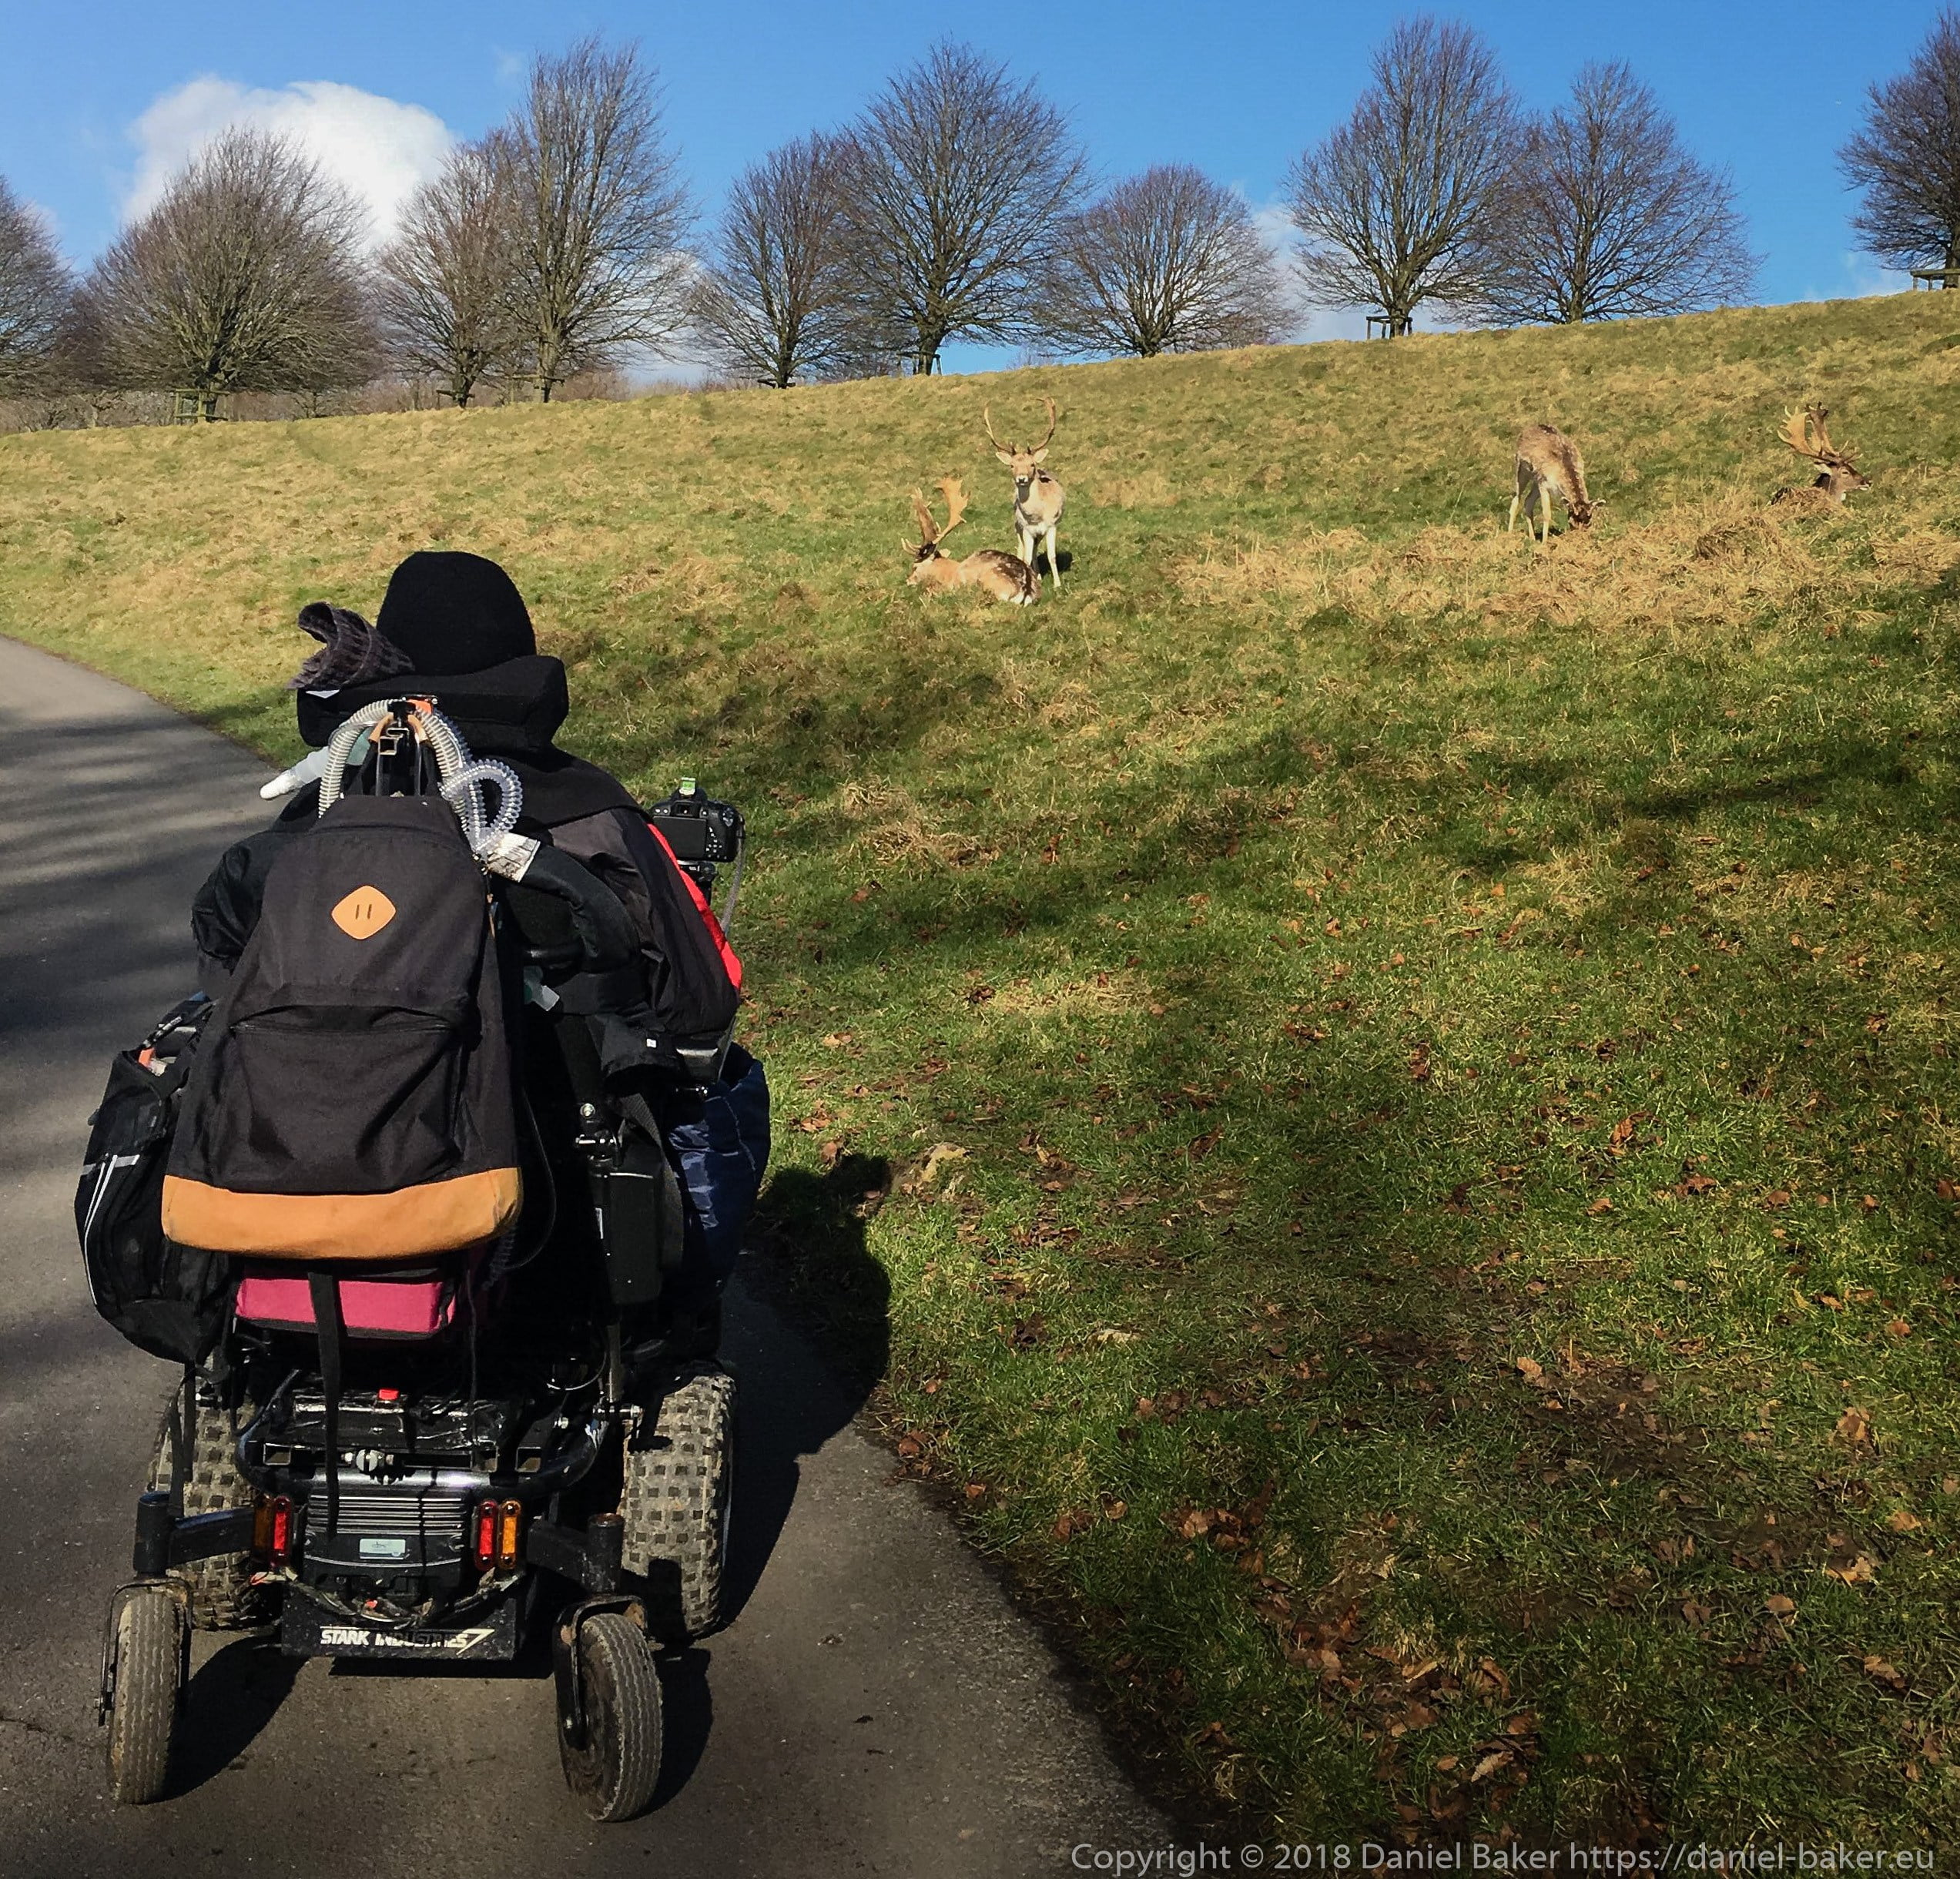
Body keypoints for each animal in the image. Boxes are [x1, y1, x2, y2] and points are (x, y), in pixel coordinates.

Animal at [980, 401, 1074, 588]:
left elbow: (1052, 556)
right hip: (1018, 526)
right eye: (1012, 466)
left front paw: (1057, 584)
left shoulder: (1052, 525)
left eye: (1032, 464)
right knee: (1024, 552)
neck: (1036, 515)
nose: (1021, 478)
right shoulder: (1026, 528)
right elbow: (1026, 557)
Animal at [1505, 423, 1599, 548]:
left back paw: (1532, 538)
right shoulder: (1544, 484)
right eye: (1572, 521)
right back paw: (1509, 534)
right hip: (1522, 469)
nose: (1579, 538)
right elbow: (1546, 513)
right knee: (1516, 498)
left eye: (1589, 521)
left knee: (1528, 501)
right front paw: (1545, 543)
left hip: (1536, 479)